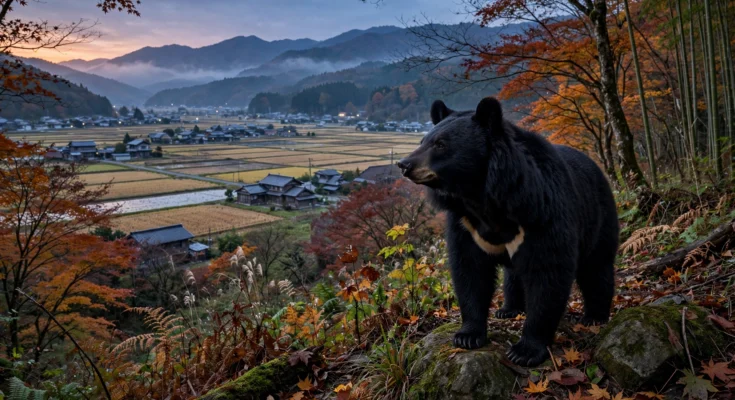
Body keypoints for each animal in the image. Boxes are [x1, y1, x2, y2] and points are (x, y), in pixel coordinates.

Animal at [396, 97, 619, 367]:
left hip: (599, 217)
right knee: (514, 276)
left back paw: (595, 316)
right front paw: (467, 336)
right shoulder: (466, 225)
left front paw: (526, 350)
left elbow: (548, 273)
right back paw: (509, 309)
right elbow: (469, 270)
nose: (404, 164)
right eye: (422, 142)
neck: (483, 195)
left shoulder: (542, 212)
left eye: (440, 144)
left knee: (597, 267)